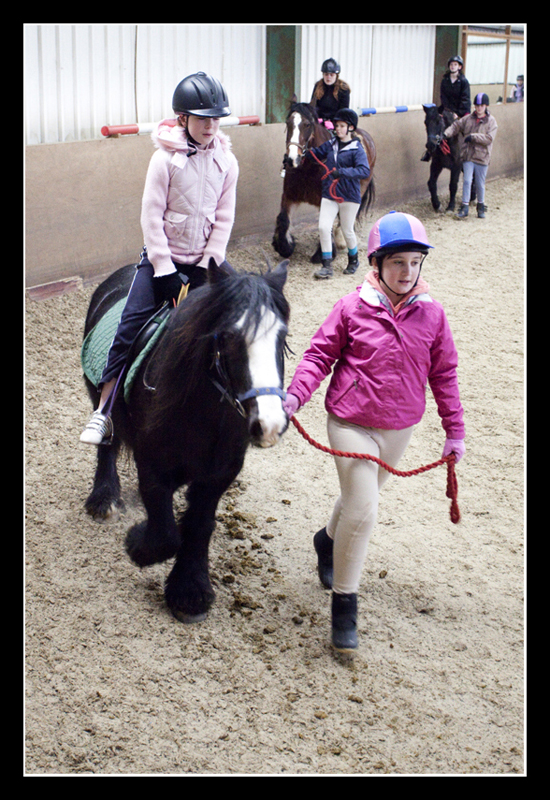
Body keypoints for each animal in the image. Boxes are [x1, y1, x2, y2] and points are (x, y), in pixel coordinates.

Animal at [82, 260, 292, 620]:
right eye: (230, 336)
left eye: (282, 336)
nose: (270, 424)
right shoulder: (152, 465)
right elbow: (166, 534)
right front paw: (137, 545)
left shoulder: (219, 474)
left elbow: (199, 524)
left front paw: (190, 592)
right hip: (101, 396)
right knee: (108, 440)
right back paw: (104, 498)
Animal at [274, 99, 378, 262]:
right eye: (288, 122)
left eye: (307, 124)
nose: (291, 159)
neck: (308, 167)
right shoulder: (289, 195)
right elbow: (284, 218)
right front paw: (284, 247)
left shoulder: (325, 199)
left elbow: (326, 223)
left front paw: (322, 253)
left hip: (360, 188)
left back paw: (341, 240)